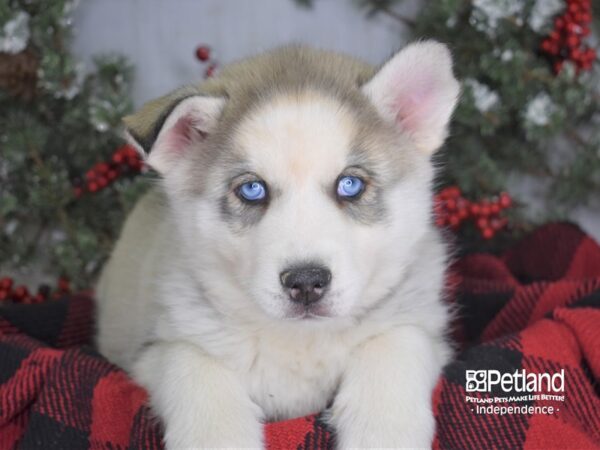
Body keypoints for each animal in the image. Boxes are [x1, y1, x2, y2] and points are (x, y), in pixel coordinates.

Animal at [97, 40, 460, 448]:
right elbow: (196, 373)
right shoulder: (158, 349)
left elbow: (394, 346)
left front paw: (381, 431)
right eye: (252, 189)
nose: (306, 282)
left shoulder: (421, 324)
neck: (300, 342)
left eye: (350, 184)